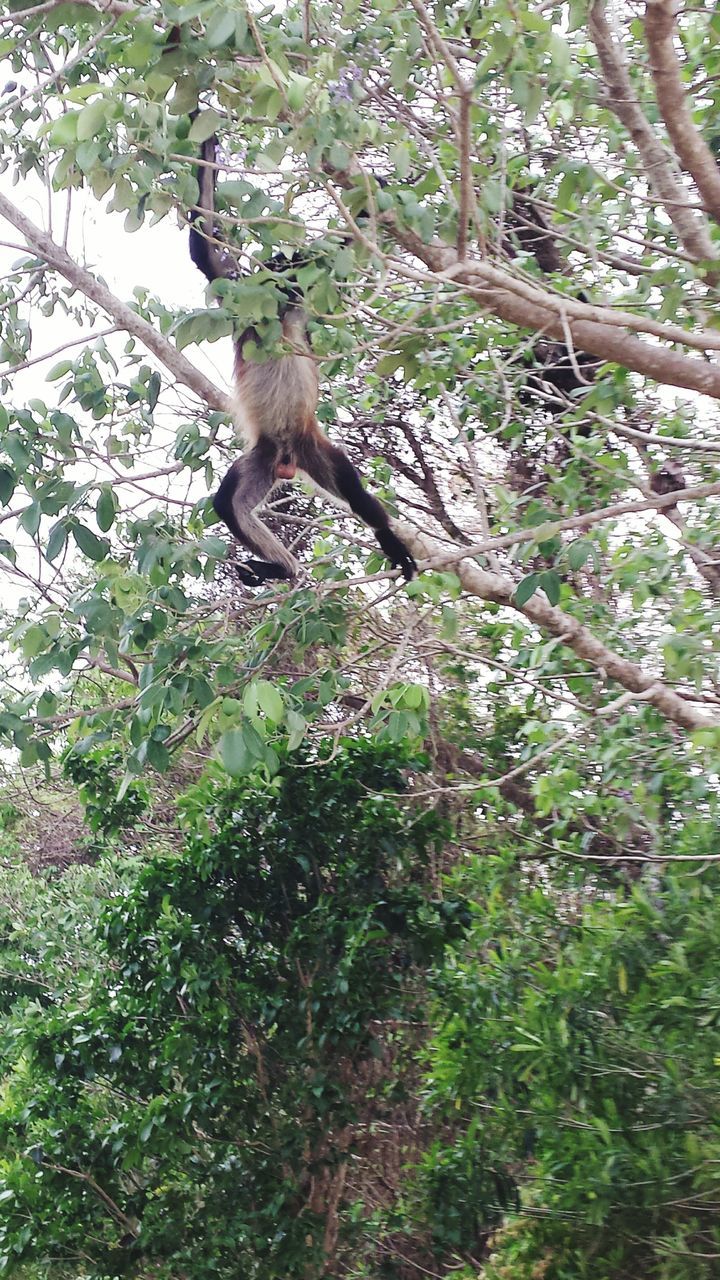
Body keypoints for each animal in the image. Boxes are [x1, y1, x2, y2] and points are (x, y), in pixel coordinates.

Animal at [188, 133, 417, 586]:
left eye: (286, 267)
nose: (283, 271)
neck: (274, 314)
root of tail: (288, 456)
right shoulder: (239, 302)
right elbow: (206, 248)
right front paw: (206, 152)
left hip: (311, 444)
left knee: (353, 490)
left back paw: (384, 538)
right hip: (265, 454)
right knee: (229, 504)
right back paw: (281, 568)